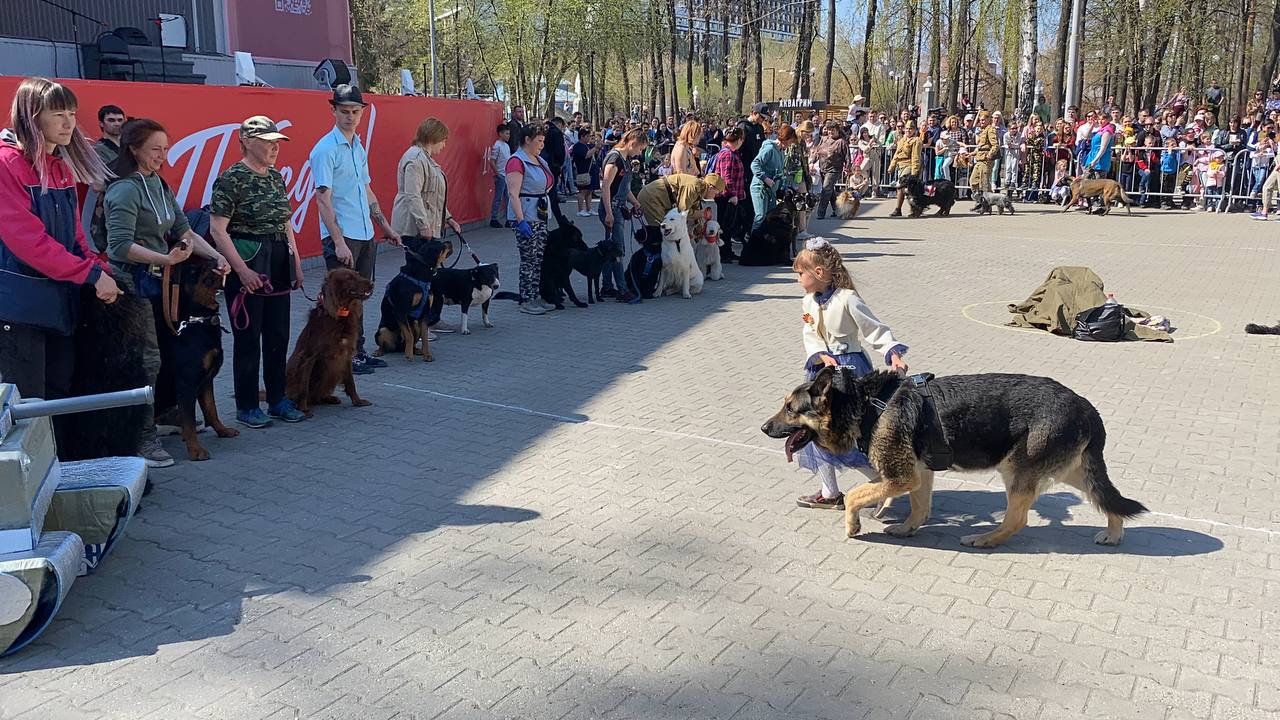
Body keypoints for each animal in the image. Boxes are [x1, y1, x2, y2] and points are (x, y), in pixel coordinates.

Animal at [282, 265, 373, 415]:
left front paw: (357, 401)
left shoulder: (345, 354)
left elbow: (350, 381)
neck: (340, 315)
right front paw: (304, 409)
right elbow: (304, 386)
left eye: (358, 274)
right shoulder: (309, 356)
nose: (372, 284)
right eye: (349, 278)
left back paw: (328, 398)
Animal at [757, 366, 1152, 545]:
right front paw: (907, 528)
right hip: (1073, 471)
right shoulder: (919, 474)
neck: (866, 404)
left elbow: (855, 494)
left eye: (790, 408)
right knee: (1108, 499)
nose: (762, 427)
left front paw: (853, 524)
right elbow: (919, 507)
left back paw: (985, 540)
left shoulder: (901, 476)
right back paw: (1114, 533)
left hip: (1016, 471)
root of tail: (1087, 407)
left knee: (1017, 520)